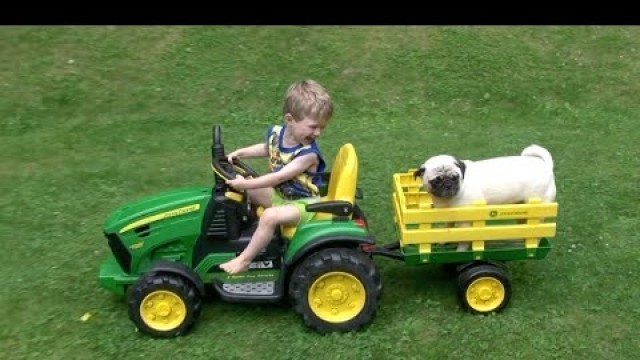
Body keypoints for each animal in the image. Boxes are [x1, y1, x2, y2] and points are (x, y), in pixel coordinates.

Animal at [416, 145, 556, 252]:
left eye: (454, 178)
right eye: (436, 181)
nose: (448, 184)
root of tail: (545, 166)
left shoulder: (465, 222)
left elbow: (463, 239)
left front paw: (460, 251)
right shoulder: (449, 216)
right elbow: (447, 228)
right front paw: (443, 240)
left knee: (538, 230)